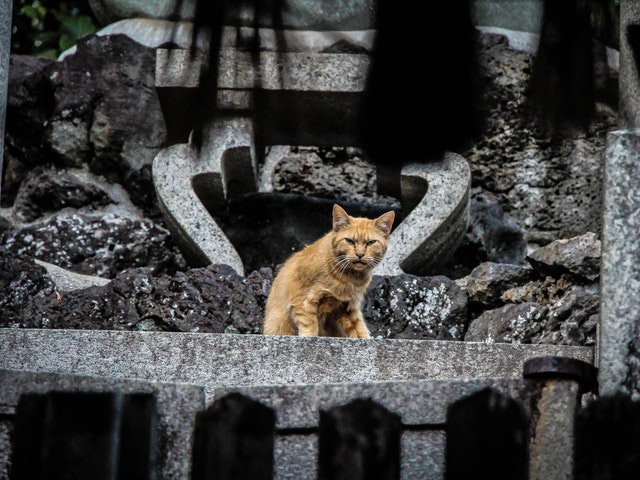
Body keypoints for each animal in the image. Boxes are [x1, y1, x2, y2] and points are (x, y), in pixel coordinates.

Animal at [262, 203, 392, 338]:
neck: (349, 277)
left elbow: (359, 329)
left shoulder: (349, 307)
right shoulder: (303, 300)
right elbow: (310, 324)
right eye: (349, 241)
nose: (360, 254)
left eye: (371, 242)